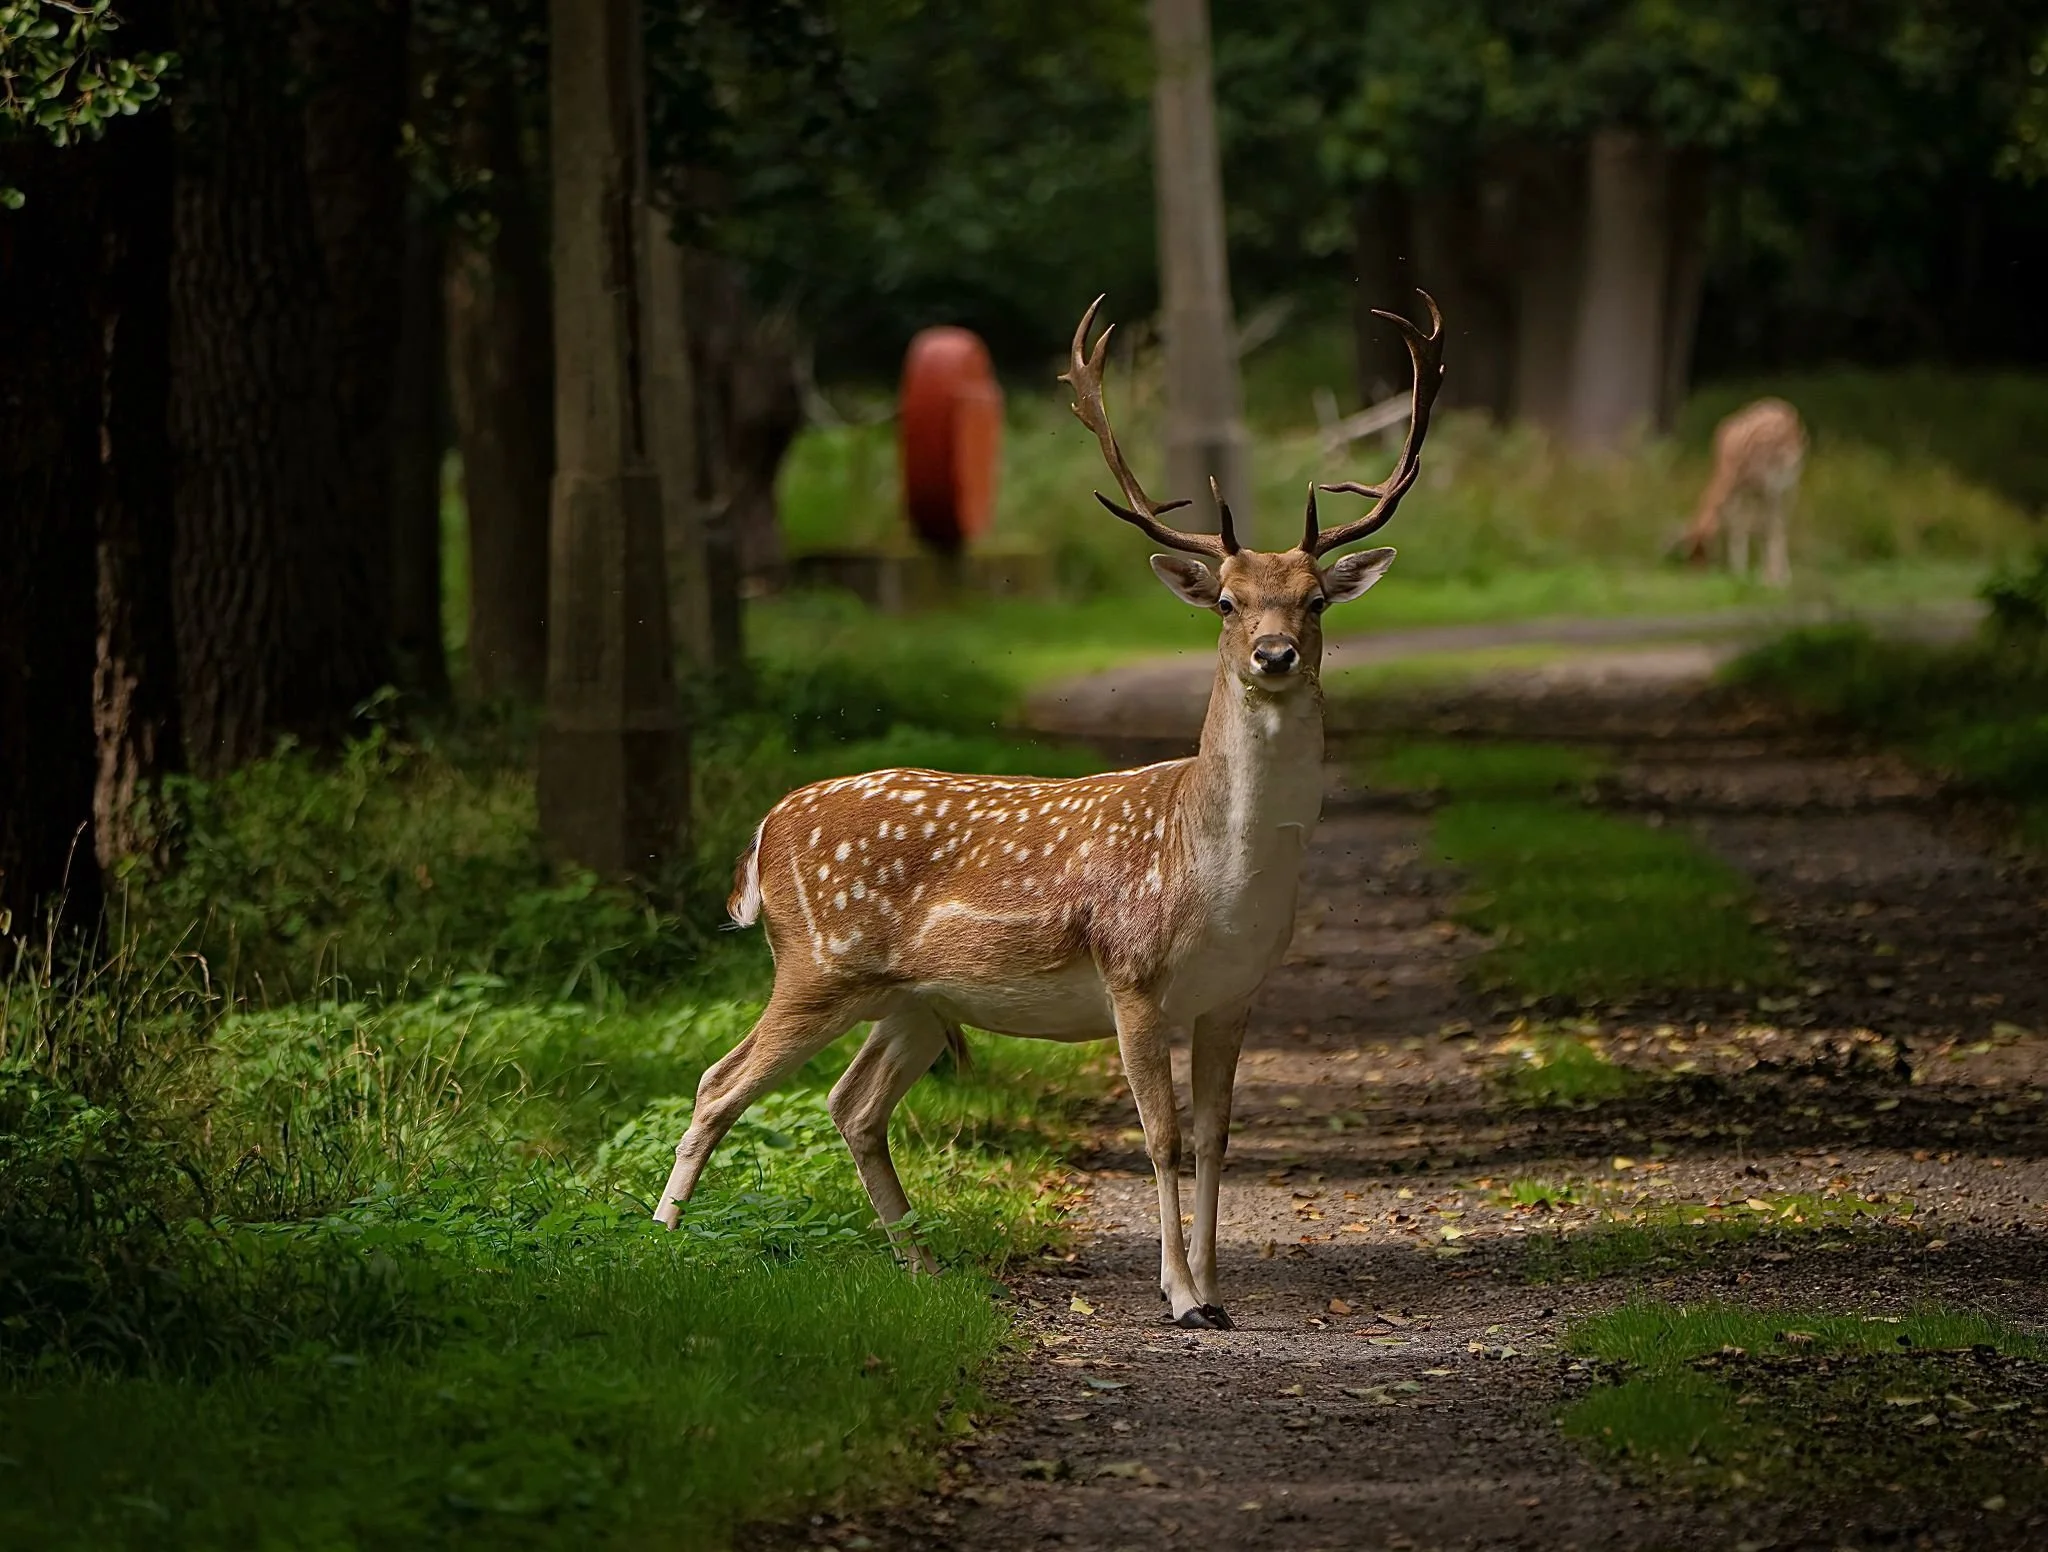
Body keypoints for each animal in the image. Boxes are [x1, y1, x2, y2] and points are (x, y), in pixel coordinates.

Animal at [653, 293, 1444, 1329]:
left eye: (1315, 601)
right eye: (1227, 602)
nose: (1273, 655)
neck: (1215, 877)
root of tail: (764, 830)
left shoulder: (1234, 995)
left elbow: (1217, 1139)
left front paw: (1218, 1293)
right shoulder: (1132, 978)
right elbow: (1161, 1138)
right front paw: (1179, 1297)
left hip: (910, 996)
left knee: (851, 1104)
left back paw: (927, 1271)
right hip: (817, 961)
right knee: (719, 1082)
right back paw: (652, 1244)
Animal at [1675, 397, 1807, 587]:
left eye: (1704, 549)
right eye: (1689, 550)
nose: (1697, 573)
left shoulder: (1753, 488)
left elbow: (1744, 525)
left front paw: (1741, 574)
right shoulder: (1751, 490)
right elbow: (1750, 525)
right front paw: (1749, 574)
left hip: (1780, 482)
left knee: (1777, 524)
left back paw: (1777, 579)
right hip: (1785, 484)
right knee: (1776, 523)